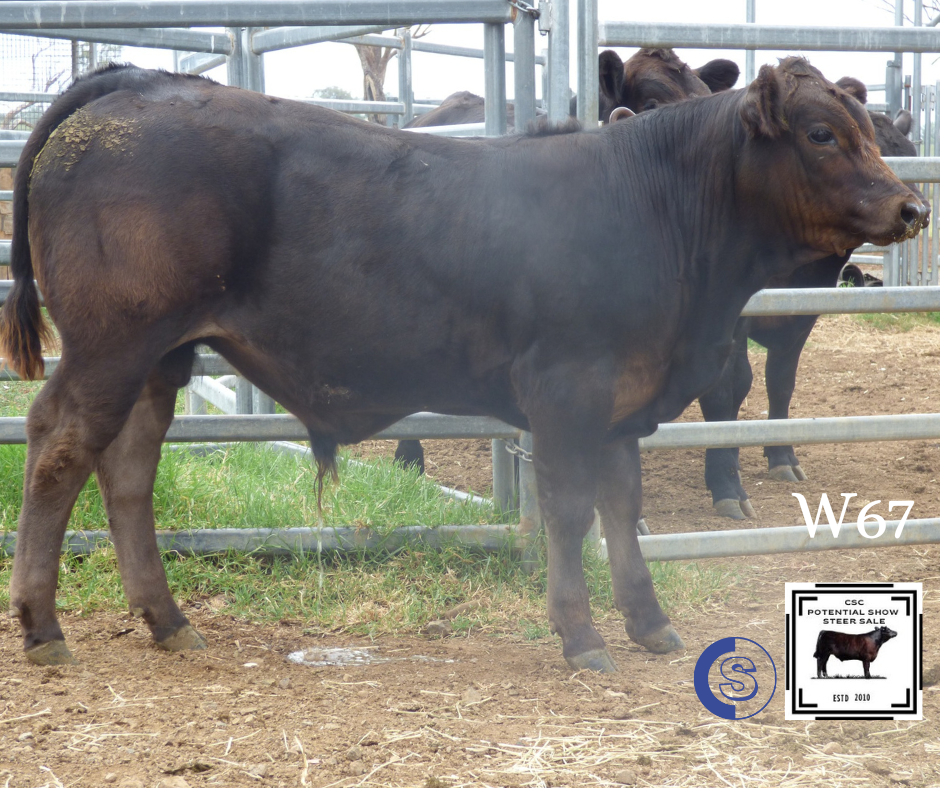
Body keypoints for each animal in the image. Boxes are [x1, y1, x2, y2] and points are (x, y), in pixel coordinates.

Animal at [1, 60, 927, 672]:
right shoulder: (564, 391)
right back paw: (44, 628)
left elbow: (622, 509)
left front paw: (649, 623)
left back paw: (167, 620)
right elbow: (570, 512)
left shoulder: (622, 401)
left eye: (871, 131)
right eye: (820, 133)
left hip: (160, 357)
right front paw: (581, 634)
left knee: (128, 468)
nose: (912, 206)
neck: (653, 208)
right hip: (113, 344)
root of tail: (136, 81)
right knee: (58, 446)